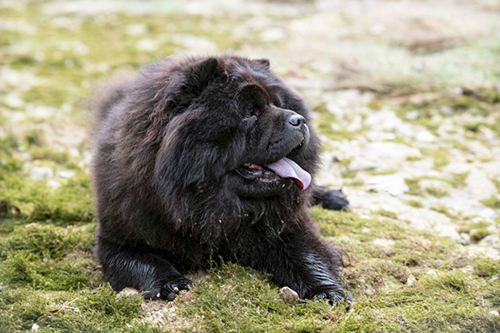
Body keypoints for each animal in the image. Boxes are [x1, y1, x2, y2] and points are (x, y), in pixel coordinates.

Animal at [93, 54, 348, 304]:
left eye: (279, 104)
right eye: (249, 112)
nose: (299, 120)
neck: (208, 207)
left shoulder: (288, 228)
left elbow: (307, 257)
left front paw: (327, 291)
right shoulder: (120, 238)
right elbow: (145, 261)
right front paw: (170, 283)